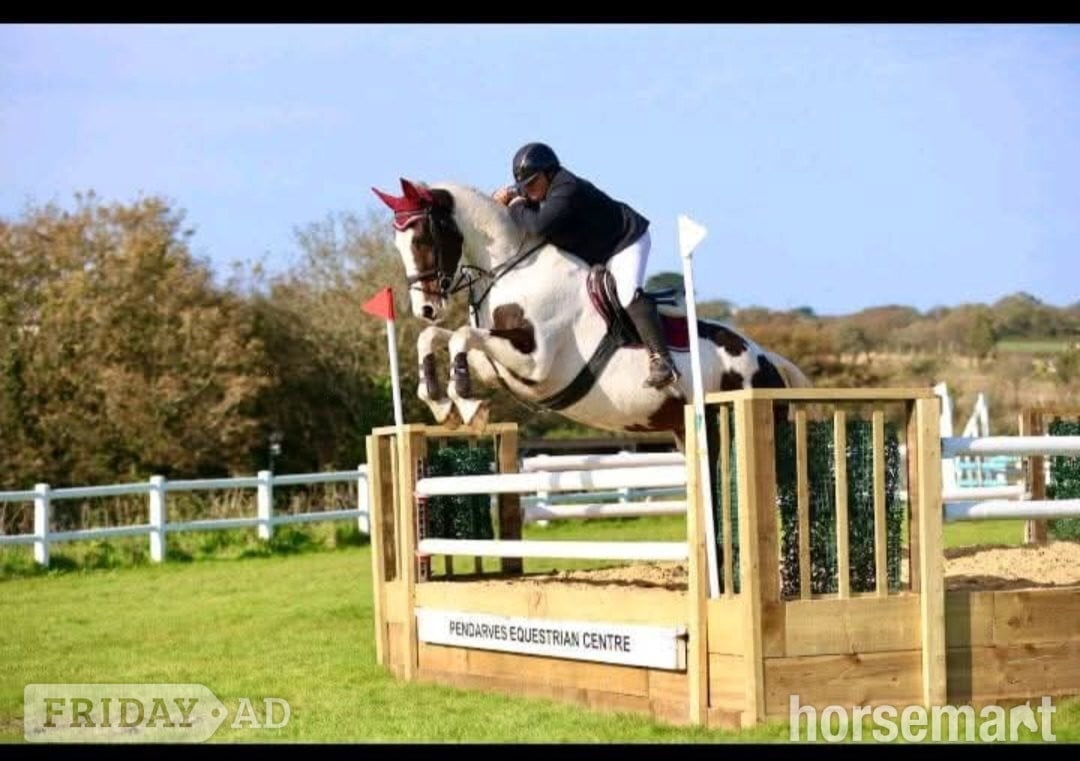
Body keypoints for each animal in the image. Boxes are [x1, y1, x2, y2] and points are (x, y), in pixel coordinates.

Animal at [371, 178, 811, 446]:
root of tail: (767, 358)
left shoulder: (537, 364)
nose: (426, 307)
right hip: (685, 431)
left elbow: (461, 336)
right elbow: (437, 338)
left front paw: (464, 402)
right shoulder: (500, 366)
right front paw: (442, 403)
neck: (512, 267)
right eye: (397, 243)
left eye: (424, 238)